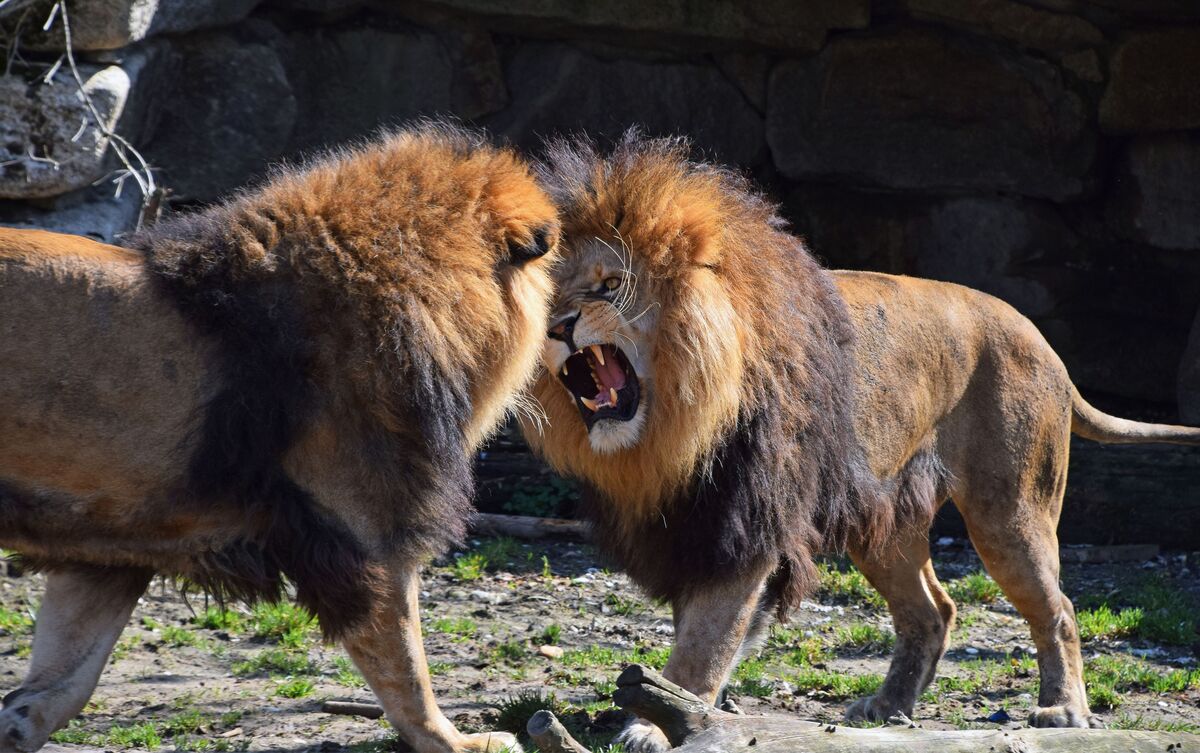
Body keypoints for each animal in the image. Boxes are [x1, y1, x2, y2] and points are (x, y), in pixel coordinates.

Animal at [0, 123, 561, 753]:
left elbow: (66, 675)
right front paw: (457, 741)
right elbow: (406, 668)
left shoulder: (110, 541)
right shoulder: (363, 533)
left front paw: (17, 724)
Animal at [523, 129, 1200, 748]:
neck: (672, 430)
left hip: (1009, 510)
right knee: (934, 610)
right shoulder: (693, 526)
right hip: (885, 519)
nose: (557, 327)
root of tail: (1043, 342)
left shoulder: (745, 527)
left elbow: (704, 644)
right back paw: (888, 707)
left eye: (610, 285)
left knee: (1057, 608)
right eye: (549, 295)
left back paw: (1063, 710)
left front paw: (654, 723)